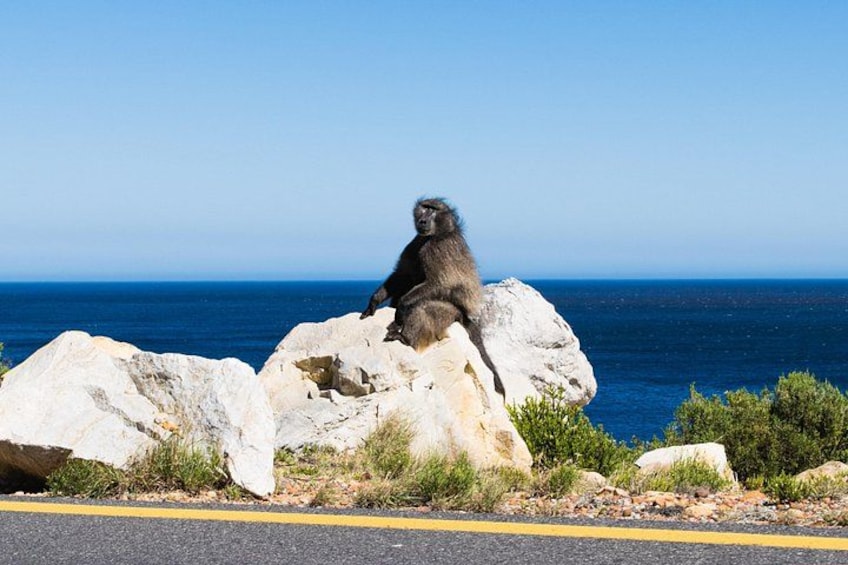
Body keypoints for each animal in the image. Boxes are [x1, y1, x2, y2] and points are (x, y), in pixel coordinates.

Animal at [360, 197, 505, 396]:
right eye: (425, 208)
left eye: (433, 210)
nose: (423, 221)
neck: (435, 235)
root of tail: (464, 315)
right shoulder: (416, 242)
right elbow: (402, 274)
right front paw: (374, 301)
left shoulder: (436, 249)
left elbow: (437, 283)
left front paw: (401, 311)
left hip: (450, 311)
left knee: (422, 309)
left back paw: (405, 338)